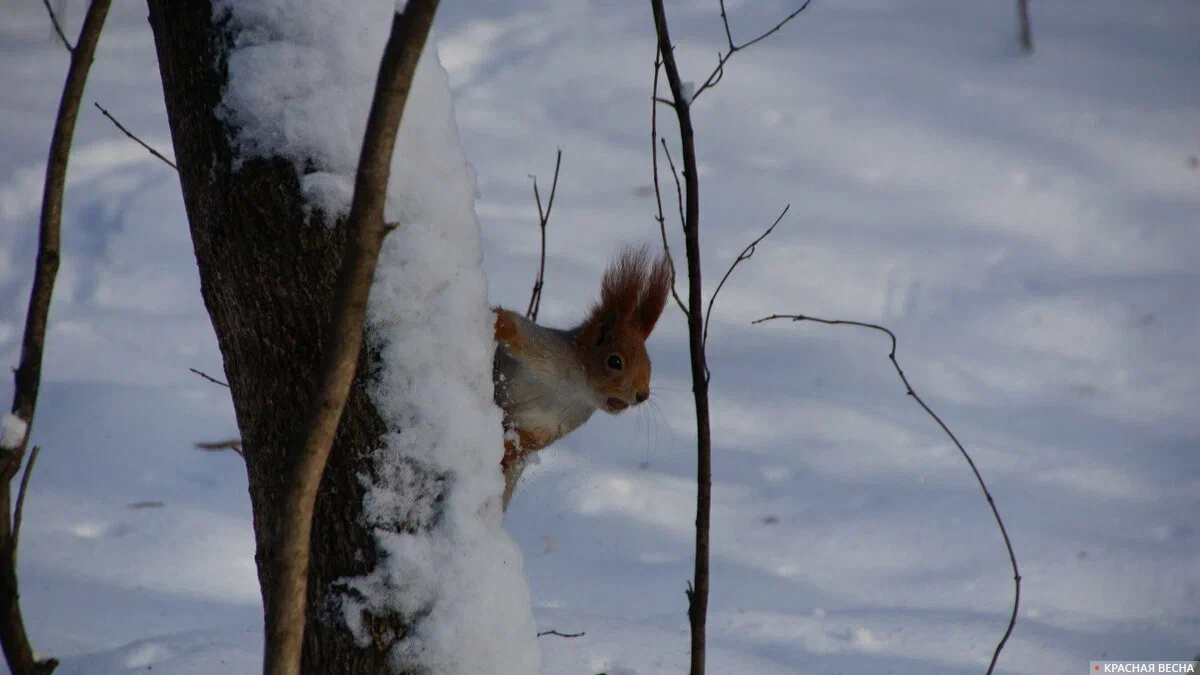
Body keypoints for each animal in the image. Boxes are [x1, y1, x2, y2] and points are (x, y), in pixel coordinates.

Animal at [489, 246, 676, 504]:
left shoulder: (556, 423)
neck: (575, 387)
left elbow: (528, 440)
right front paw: (495, 321)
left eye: (649, 365)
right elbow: (512, 325)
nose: (643, 395)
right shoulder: (540, 345)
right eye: (614, 361)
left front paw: (511, 447)